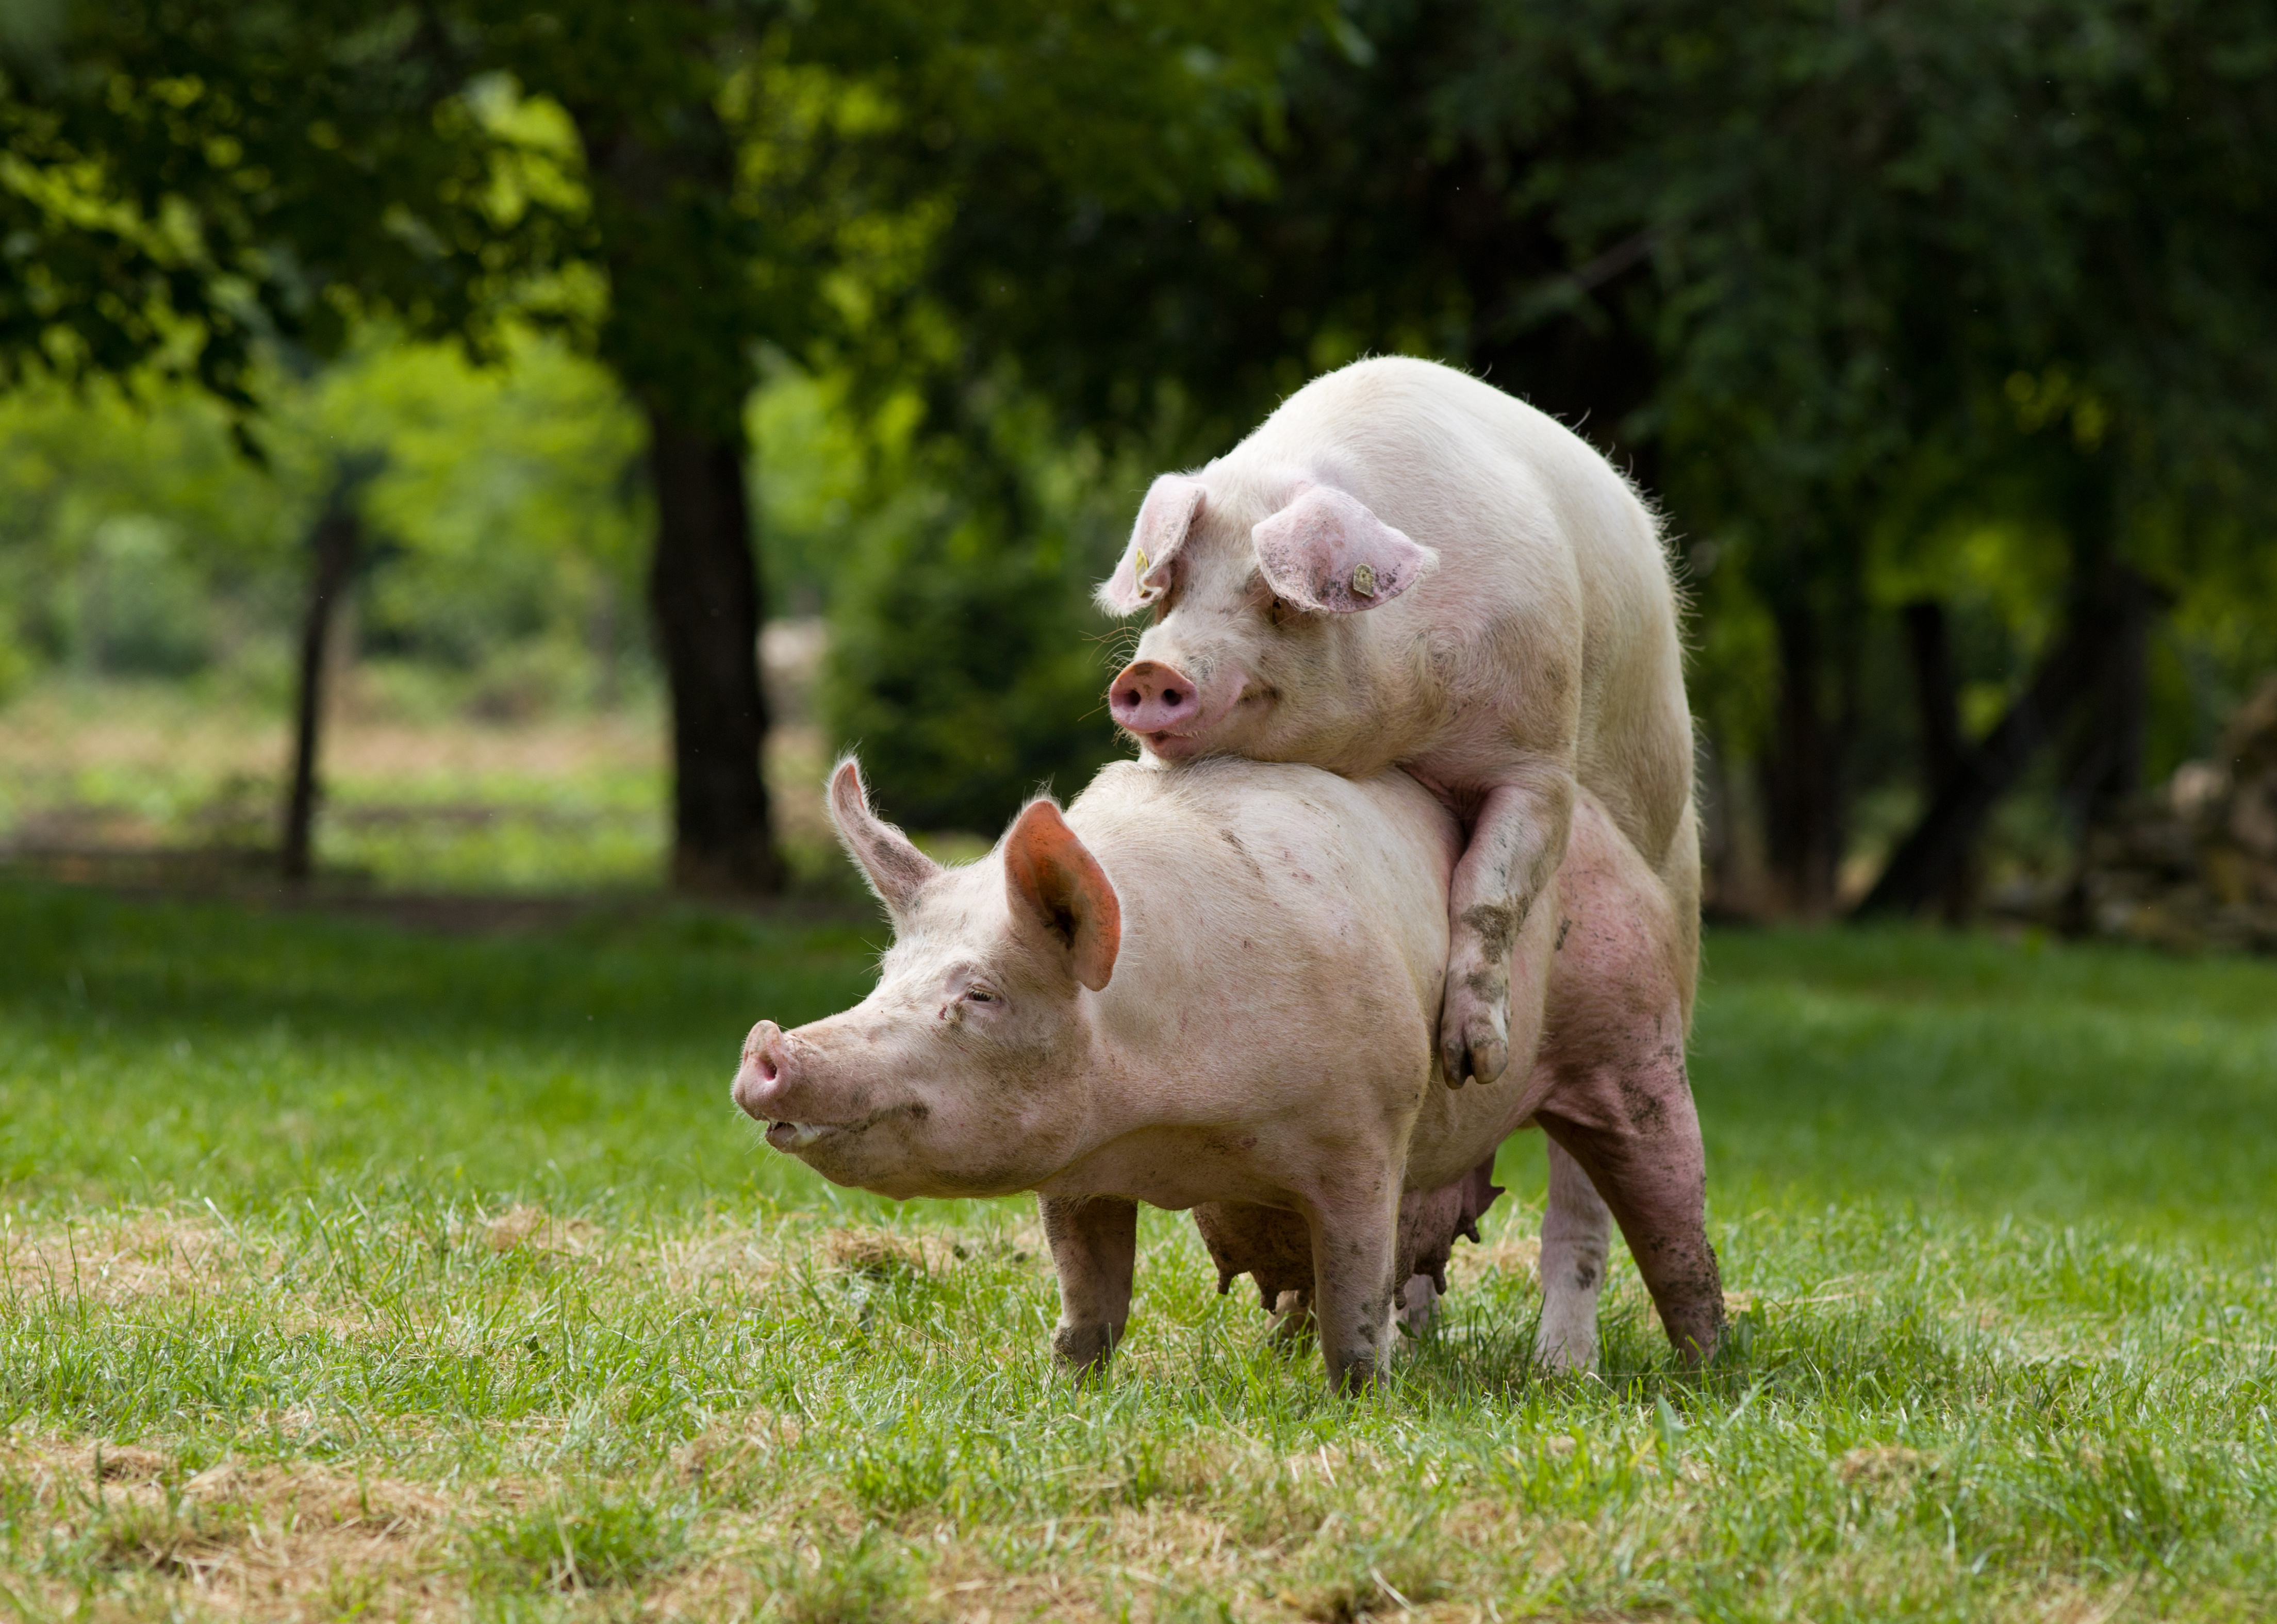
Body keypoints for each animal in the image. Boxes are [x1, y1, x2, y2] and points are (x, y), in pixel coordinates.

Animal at [719, 751, 1712, 1385]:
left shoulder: (1366, 1132)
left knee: (1662, 1217)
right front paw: (1064, 1387)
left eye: (982, 994)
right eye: (887, 975)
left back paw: (1694, 1370)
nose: (767, 1050)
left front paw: (1361, 1401)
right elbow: (1090, 1300)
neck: (1170, 1126)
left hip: (1633, 1038)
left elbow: (1358, 1297)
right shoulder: (1078, 1174)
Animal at [1093, 355, 1703, 1088]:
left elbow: (1489, 889)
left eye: (1276, 598)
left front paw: (1473, 1065)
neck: (1399, 732)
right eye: (1171, 592)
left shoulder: (1540, 755)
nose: (1150, 673)